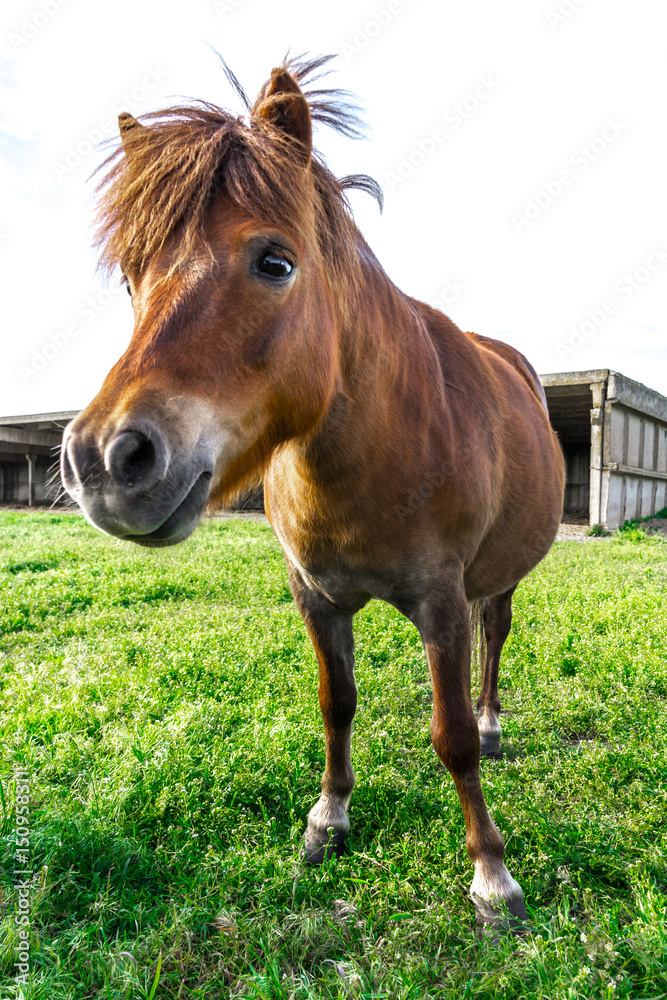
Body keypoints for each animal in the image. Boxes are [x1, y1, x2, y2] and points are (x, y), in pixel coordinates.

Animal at [61, 55, 565, 930]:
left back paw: (497, 723)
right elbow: (338, 702)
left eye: (274, 261)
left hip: (499, 575)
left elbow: (452, 737)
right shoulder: (315, 594)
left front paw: (491, 876)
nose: (106, 459)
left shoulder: (439, 598)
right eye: (130, 277)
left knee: (495, 639)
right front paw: (328, 818)